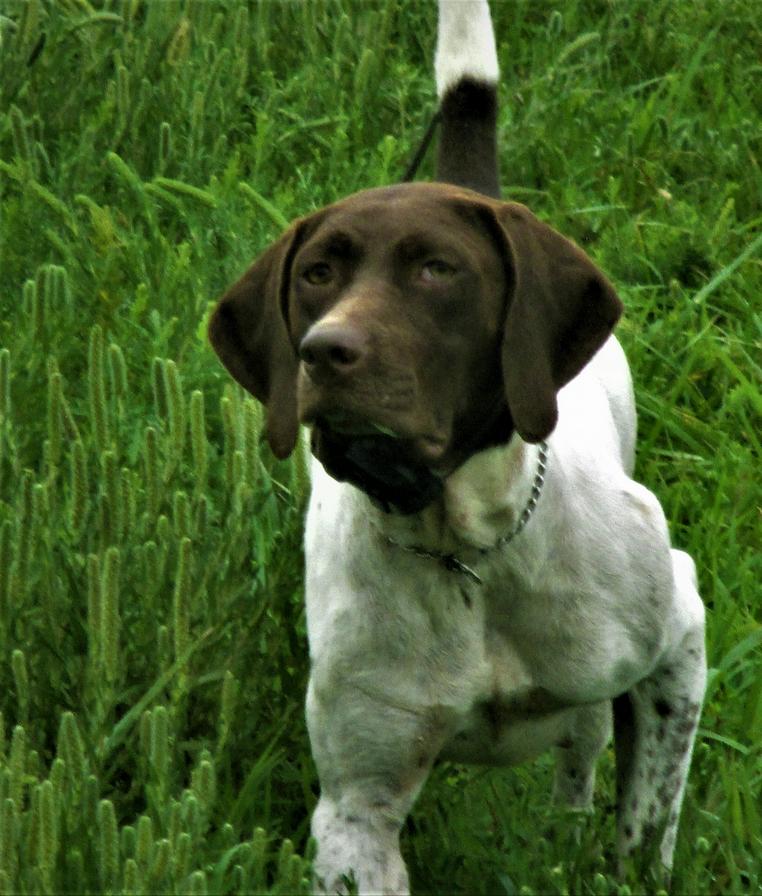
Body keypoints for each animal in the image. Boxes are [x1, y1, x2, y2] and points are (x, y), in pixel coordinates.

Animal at [206, 3, 700, 892]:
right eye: (317, 274)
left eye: (438, 270)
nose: (324, 353)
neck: (469, 550)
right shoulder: (357, 812)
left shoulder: (679, 637)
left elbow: (645, 831)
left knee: (583, 755)